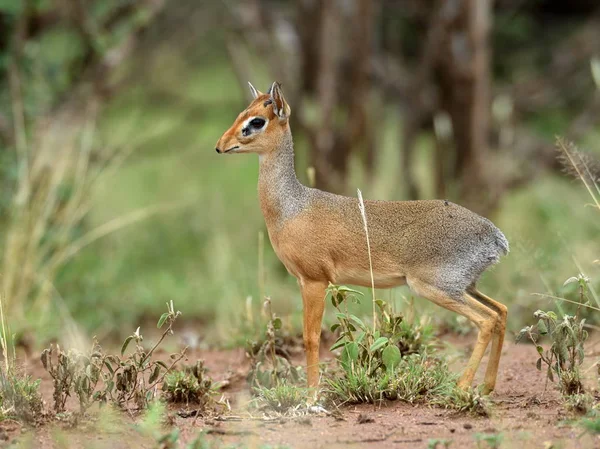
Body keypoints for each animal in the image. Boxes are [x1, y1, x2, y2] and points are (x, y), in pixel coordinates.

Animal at [214, 82, 506, 394]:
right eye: (243, 112)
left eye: (257, 121)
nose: (220, 145)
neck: (291, 208)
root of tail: (495, 236)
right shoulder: (305, 281)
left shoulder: (315, 280)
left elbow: (311, 338)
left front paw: (312, 394)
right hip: (467, 286)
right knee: (501, 311)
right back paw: (485, 387)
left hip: (437, 287)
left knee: (486, 320)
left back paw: (461, 387)